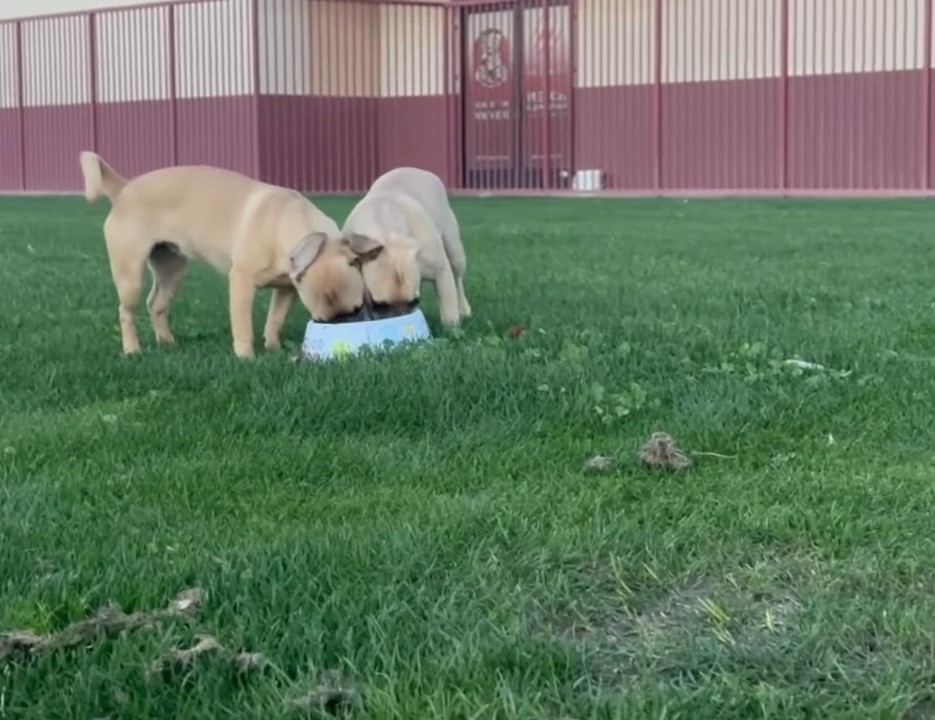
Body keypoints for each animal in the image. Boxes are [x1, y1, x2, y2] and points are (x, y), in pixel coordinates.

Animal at [79, 155, 380, 362]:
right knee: (126, 312)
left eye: (357, 309)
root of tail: (123, 189)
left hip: (172, 270)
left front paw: (273, 347)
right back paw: (132, 350)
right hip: (130, 274)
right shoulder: (242, 283)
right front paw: (246, 357)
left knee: (157, 305)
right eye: (319, 319)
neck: (292, 223)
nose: (344, 330)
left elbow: (275, 320)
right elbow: (243, 325)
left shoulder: (286, 289)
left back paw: (167, 343)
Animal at [342, 166, 472, 326]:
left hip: (454, 251)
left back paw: (464, 309)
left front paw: (451, 326)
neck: (388, 233)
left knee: (457, 280)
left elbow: (448, 304)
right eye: (378, 304)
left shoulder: (441, 271)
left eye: (415, 301)